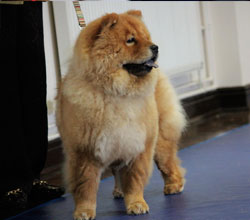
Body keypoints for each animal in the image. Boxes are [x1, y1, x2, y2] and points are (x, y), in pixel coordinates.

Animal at [56, 9, 186, 219]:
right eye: (131, 40)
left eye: (146, 37)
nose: (155, 46)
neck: (115, 92)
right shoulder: (84, 151)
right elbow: (86, 186)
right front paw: (84, 211)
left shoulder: (137, 145)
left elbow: (134, 179)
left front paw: (136, 204)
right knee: (117, 171)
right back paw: (119, 191)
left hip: (160, 139)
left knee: (168, 162)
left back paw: (174, 185)